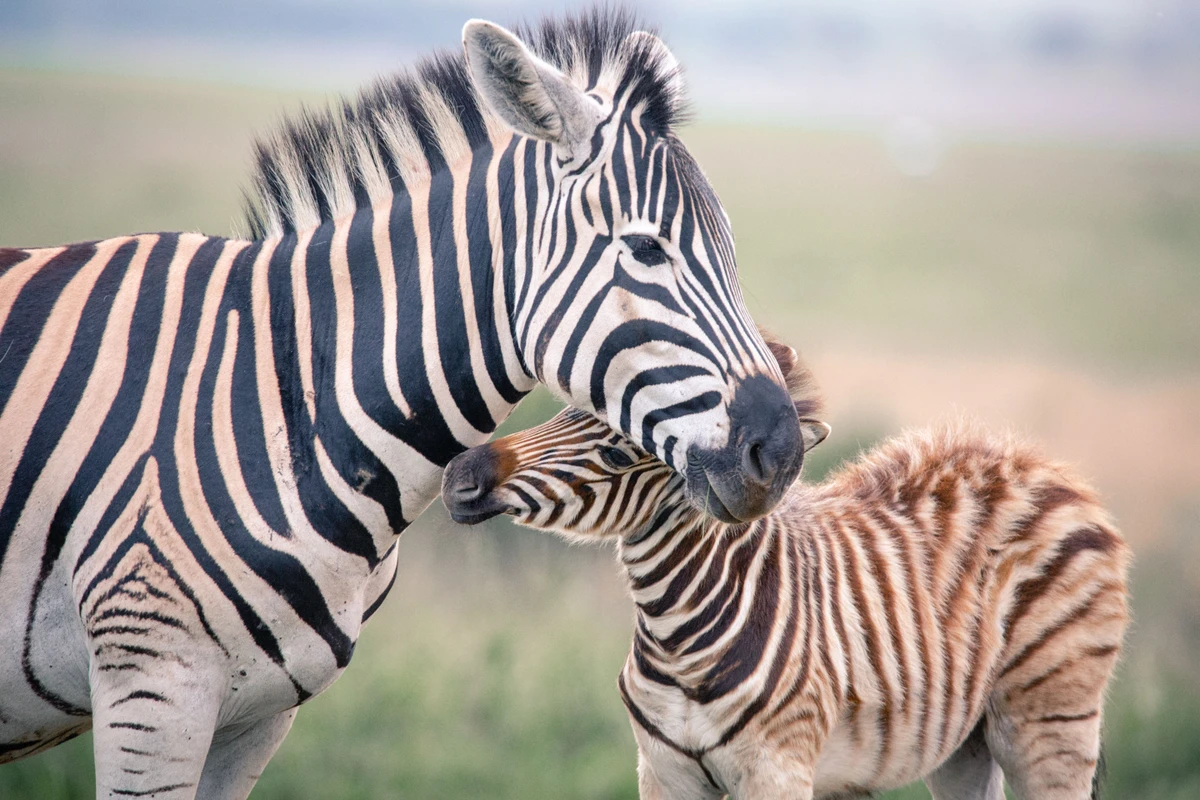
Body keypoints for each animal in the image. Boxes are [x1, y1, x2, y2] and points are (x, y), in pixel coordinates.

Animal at [443, 335, 1131, 800]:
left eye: (619, 450)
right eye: (566, 410)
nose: (457, 475)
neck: (677, 634)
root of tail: (1036, 462)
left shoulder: (778, 766)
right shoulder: (663, 772)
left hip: (1052, 717)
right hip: (966, 741)